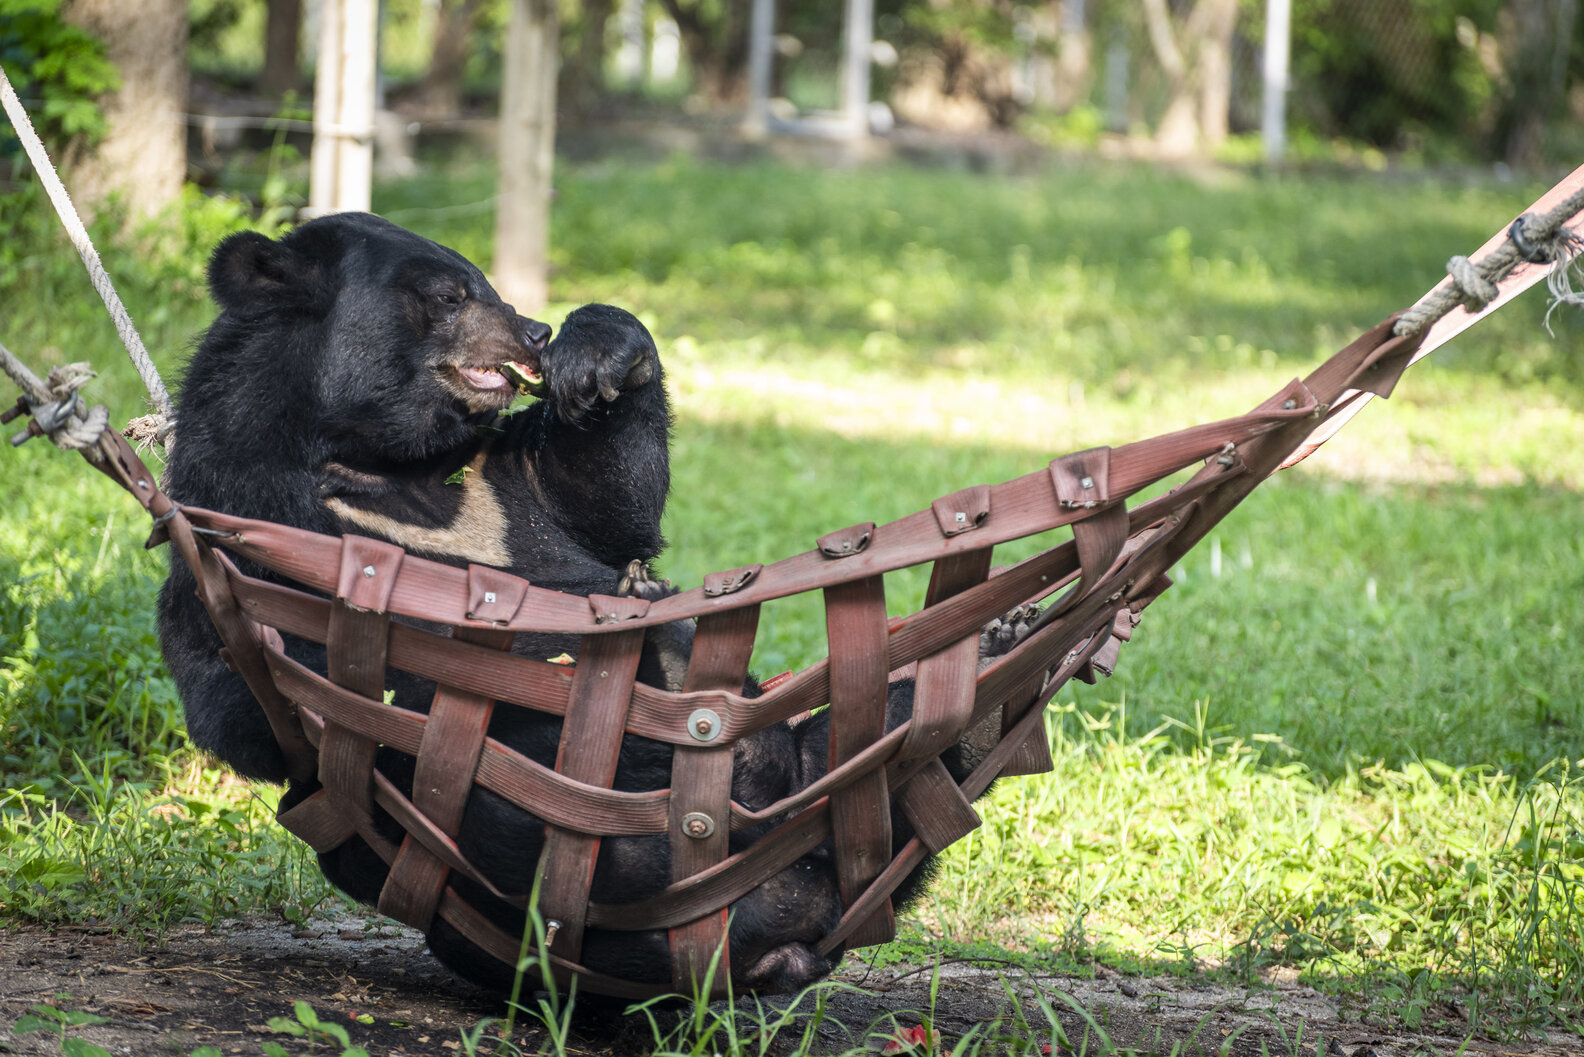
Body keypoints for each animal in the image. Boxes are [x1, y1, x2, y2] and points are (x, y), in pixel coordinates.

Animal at [157, 212, 1015, 997]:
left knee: (861, 737)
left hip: (818, 782)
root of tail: (790, 932)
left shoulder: (503, 484)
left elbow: (606, 496)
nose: (533, 332)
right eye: (448, 293)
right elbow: (254, 693)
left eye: (485, 282)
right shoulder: (253, 511)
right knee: (527, 822)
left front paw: (593, 355)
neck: (379, 464)